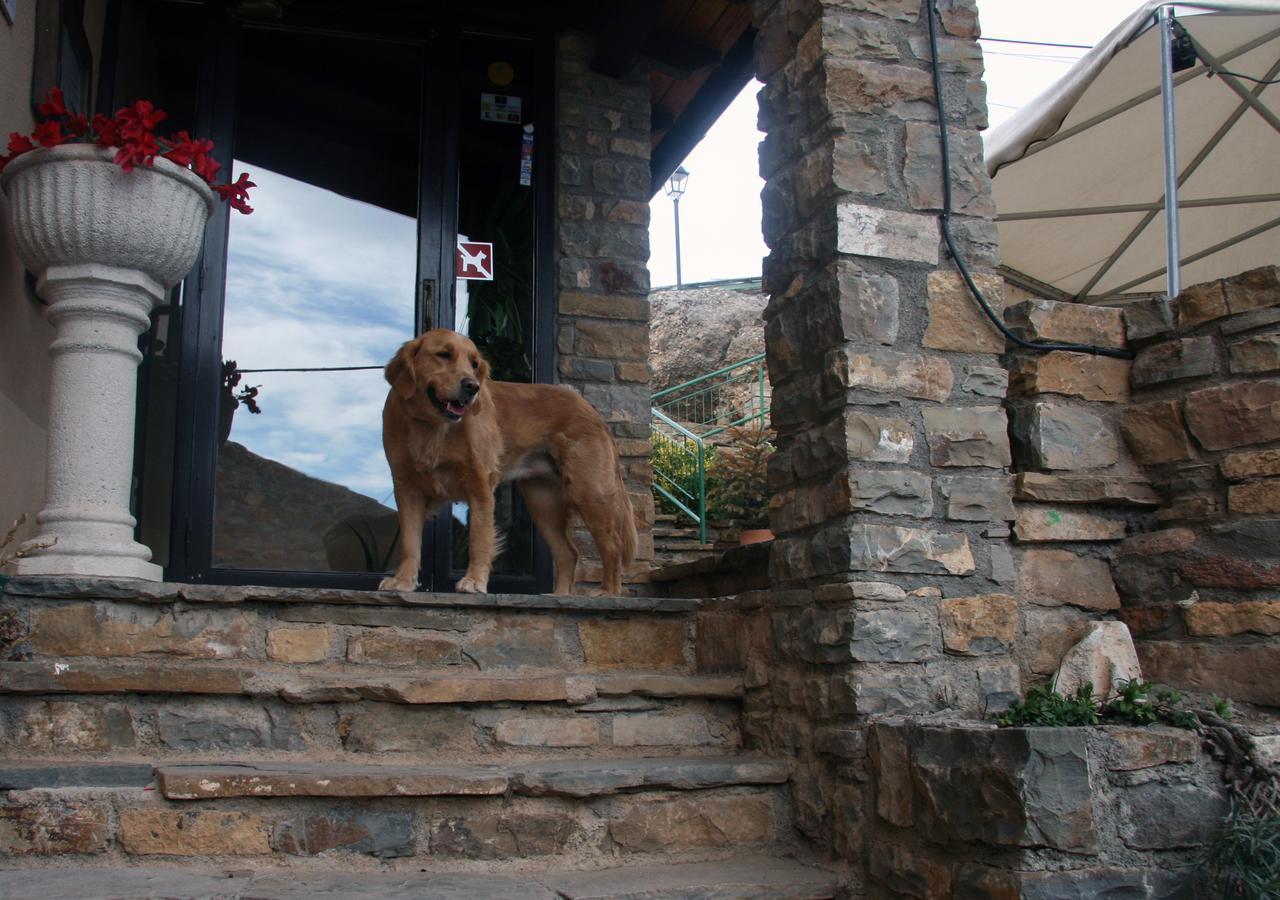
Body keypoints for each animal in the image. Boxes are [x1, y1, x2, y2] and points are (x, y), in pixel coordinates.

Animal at [378, 327, 640, 594]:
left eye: (474, 364)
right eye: (443, 354)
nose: (472, 387)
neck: (432, 426)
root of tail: (591, 409)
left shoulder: (479, 484)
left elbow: (479, 539)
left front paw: (475, 581)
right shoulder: (406, 488)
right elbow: (409, 543)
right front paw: (403, 581)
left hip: (587, 491)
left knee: (612, 545)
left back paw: (608, 592)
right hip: (542, 502)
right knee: (569, 552)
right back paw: (560, 595)